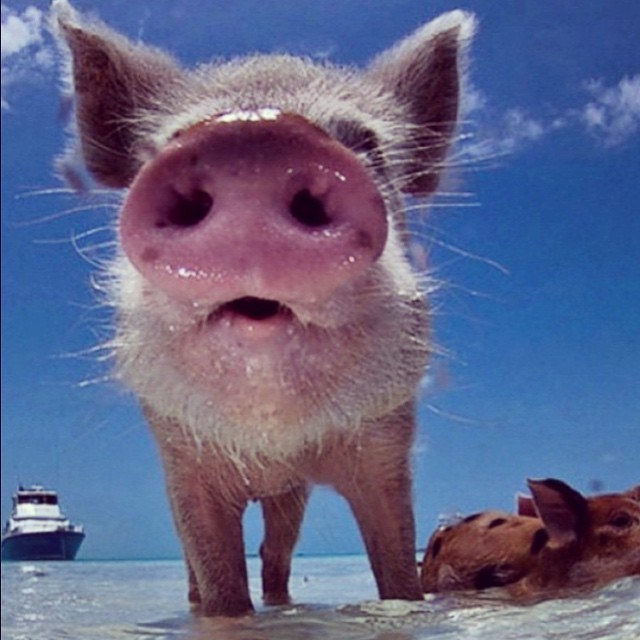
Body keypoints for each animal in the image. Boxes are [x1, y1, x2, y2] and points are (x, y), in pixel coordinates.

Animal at [51, 0, 476, 616]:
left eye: (368, 146)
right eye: (168, 142)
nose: (253, 135)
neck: (271, 444)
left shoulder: (386, 444)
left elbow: (398, 569)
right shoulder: (182, 459)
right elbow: (218, 579)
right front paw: (219, 612)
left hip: (289, 499)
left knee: (277, 550)